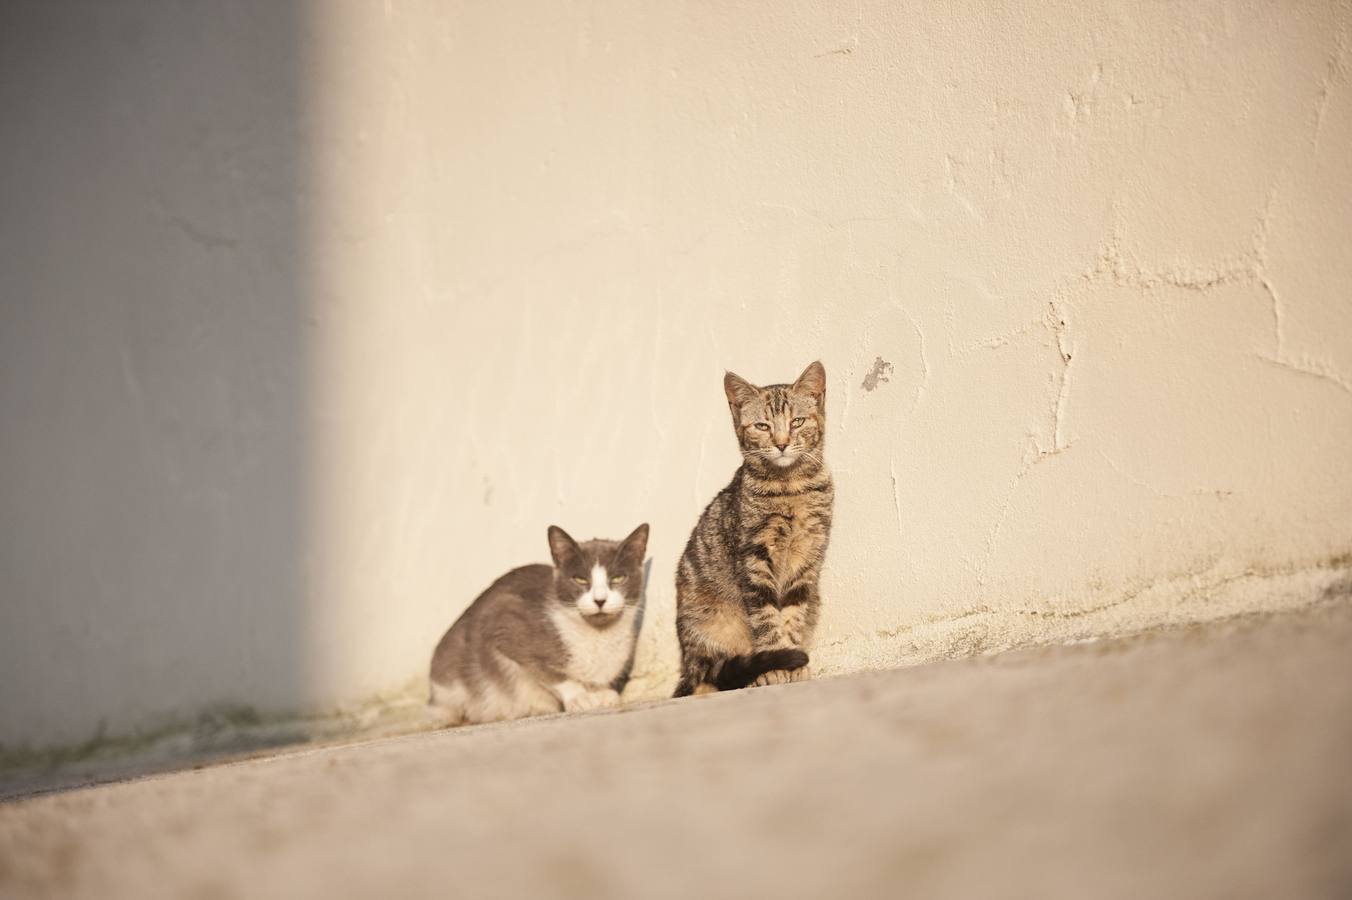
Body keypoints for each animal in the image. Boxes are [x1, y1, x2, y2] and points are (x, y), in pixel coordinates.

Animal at [427, 521, 648, 724]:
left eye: (618, 578)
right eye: (580, 579)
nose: (600, 600)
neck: (598, 635)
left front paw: (601, 693)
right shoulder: (504, 621)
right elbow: (549, 673)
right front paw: (579, 697)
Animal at [670, 356, 827, 691]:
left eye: (797, 422)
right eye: (762, 426)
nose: (781, 444)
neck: (790, 486)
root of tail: (689, 662)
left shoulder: (808, 558)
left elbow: (793, 615)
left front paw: (793, 661)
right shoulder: (753, 557)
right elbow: (765, 617)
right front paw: (777, 663)